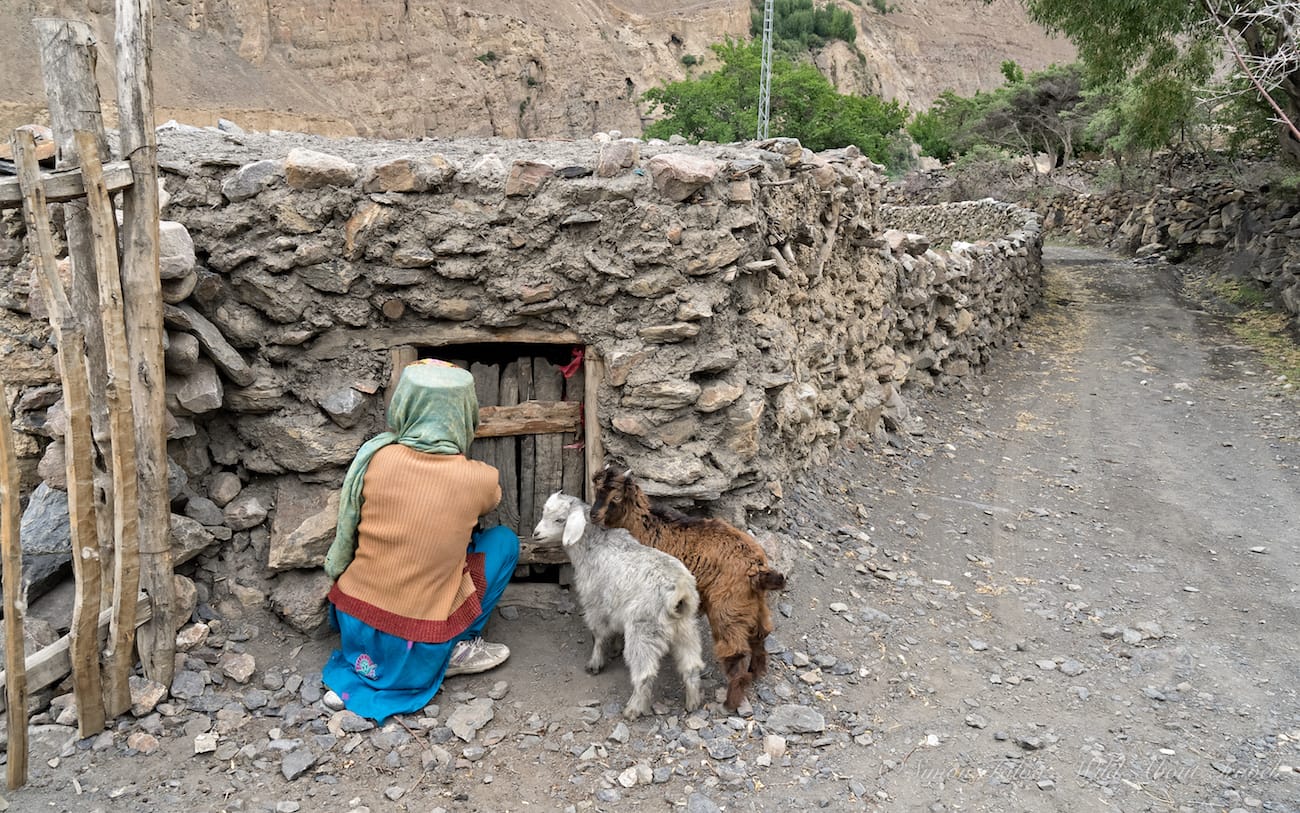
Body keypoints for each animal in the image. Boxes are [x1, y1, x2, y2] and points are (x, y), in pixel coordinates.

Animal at [533, 489, 707, 718]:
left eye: (560, 519)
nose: (536, 534)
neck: (593, 546)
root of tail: (679, 592)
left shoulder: (595, 604)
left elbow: (599, 635)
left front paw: (595, 663)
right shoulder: (614, 607)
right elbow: (613, 630)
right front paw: (614, 648)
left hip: (643, 631)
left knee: (645, 673)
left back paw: (633, 709)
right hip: (687, 629)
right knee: (692, 666)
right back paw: (693, 702)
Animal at [592, 465, 790, 707]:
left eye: (616, 497)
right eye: (597, 490)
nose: (593, 515)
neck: (643, 525)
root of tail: (757, 569)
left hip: (727, 606)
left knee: (735, 650)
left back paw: (730, 702)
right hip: (753, 604)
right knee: (760, 636)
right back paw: (756, 672)